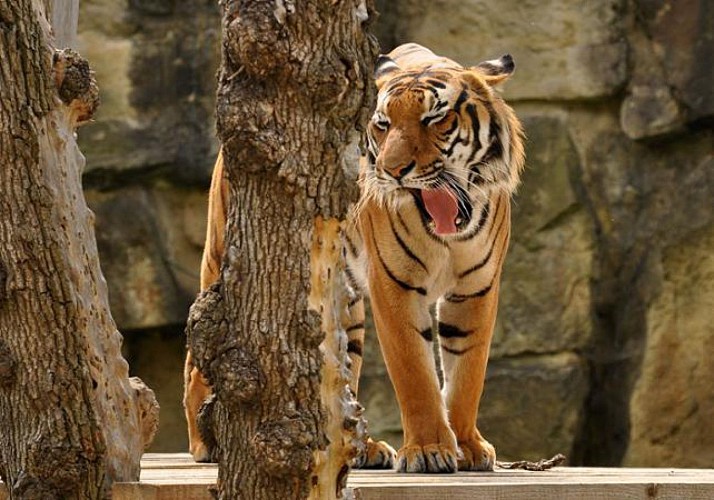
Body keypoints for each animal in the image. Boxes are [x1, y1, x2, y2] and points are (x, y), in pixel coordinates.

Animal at [184, 43, 524, 472]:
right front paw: (429, 449)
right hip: (223, 260)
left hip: (345, 306)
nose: (393, 171)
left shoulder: (476, 288)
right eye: (383, 125)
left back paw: (358, 448)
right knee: (199, 351)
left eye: (435, 118)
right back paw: (205, 443)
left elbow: (467, 373)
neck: (448, 235)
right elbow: (415, 373)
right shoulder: (395, 286)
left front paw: (467, 446)